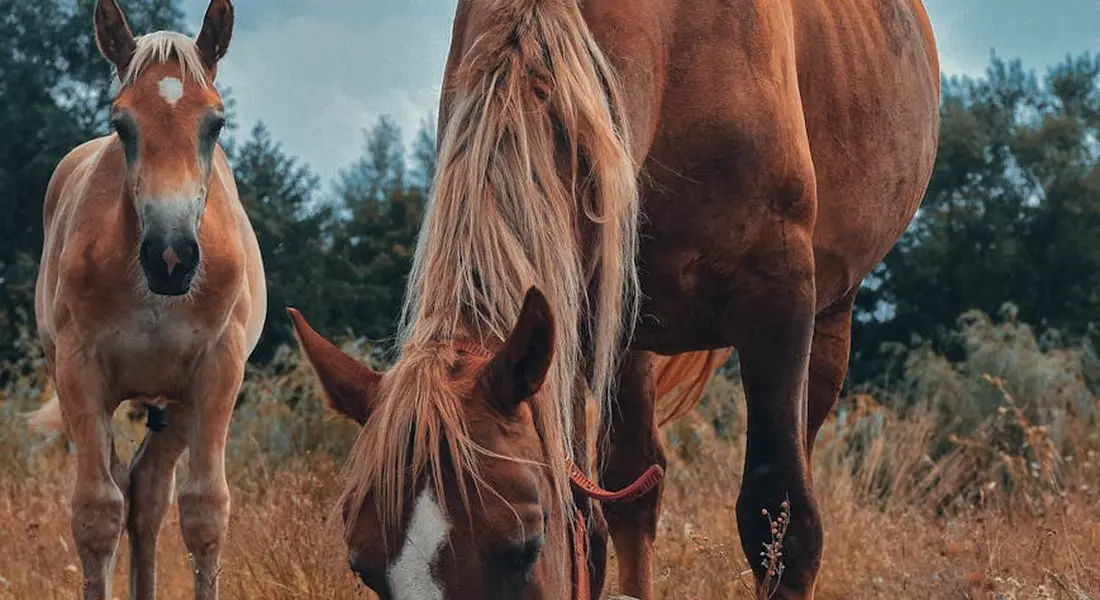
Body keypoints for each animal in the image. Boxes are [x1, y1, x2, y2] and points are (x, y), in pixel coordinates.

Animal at [25, 1, 265, 598]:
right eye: (122, 125)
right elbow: (95, 514)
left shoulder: (218, 370)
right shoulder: (79, 370)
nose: (170, 255)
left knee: (150, 493)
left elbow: (205, 511)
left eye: (215, 123)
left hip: (177, 405)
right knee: (125, 489)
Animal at [289, 0, 939, 598]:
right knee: (633, 492)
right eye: (364, 566)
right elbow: (588, 527)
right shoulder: (571, 324)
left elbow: (780, 520)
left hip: (829, 316)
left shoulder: (778, 301)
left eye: (523, 547)